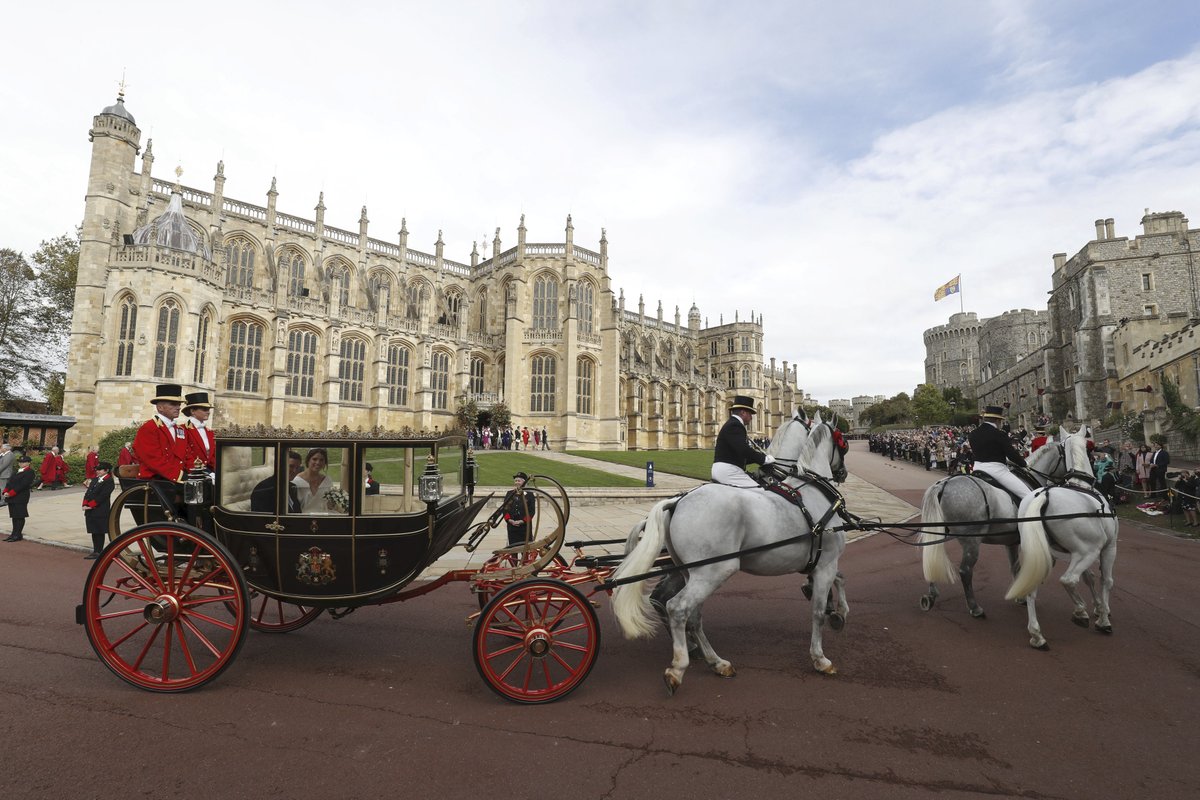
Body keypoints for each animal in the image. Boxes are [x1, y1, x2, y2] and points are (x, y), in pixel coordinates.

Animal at [609, 412, 854, 695]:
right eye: (843, 441)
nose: (843, 473)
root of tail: (676, 502)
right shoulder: (826, 562)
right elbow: (817, 610)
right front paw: (821, 656)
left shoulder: (819, 561)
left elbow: (839, 579)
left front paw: (835, 610)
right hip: (714, 570)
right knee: (676, 608)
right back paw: (679, 666)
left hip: (693, 572)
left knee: (690, 614)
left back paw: (715, 661)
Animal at [916, 438, 1070, 618]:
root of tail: (943, 485)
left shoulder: (1011, 542)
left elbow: (1015, 567)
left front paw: (1020, 595)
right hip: (971, 542)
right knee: (965, 571)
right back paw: (975, 608)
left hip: (937, 534)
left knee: (931, 558)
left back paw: (931, 596)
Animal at [1008, 431, 1118, 652]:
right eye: (1092, 448)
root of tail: (1044, 495)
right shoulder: (1108, 548)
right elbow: (1106, 581)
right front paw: (1103, 618)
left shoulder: (1072, 554)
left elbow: (1089, 577)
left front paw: (1098, 607)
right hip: (1088, 551)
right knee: (1068, 580)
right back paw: (1080, 612)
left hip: (1041, 555)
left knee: (1033, 586)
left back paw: (1037, 635)